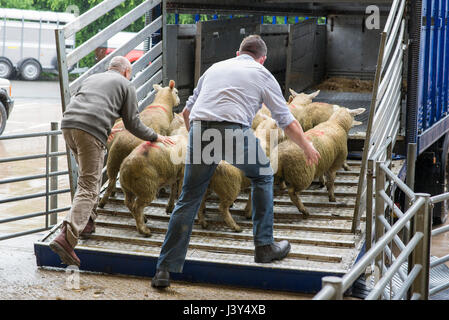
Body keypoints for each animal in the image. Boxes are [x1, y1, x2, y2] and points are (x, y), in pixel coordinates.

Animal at [99, 80, 179, 209]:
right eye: (176, 92)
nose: (179, 101)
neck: (161, 104)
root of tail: (122, 144)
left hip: (113, 160)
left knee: (111, 181)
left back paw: (103, 202)